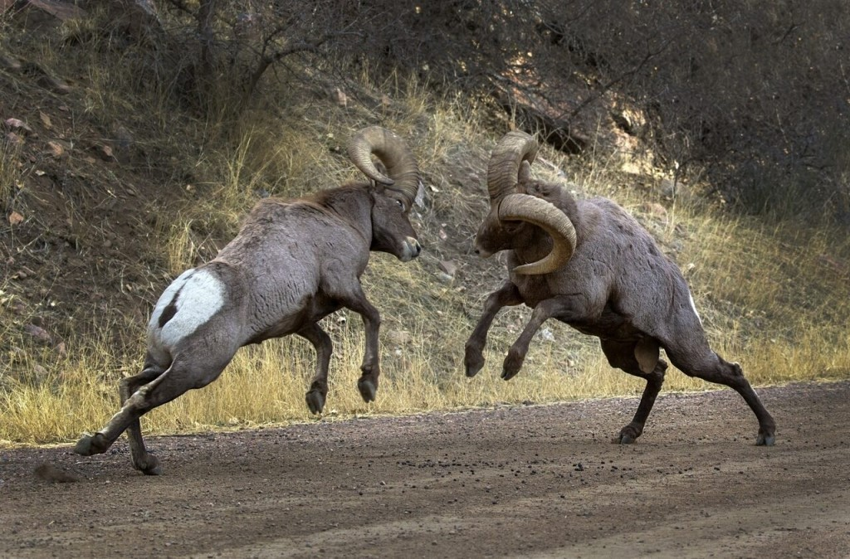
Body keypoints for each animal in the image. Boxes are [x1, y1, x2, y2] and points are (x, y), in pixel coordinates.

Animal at [75, 126, 424, 472]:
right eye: (398, 203)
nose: (415, 247)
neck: (339, 219)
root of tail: (176, 302)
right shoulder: (344, 285)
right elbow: (373, 317)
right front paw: (368, 384)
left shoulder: (300, 321)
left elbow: (325, 343)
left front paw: (316, 397)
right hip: (198, 369)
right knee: (142, 397)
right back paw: (94, 445)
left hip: (161, 362)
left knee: (128, 386)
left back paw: (143, 461)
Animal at [468, 131, 772, 446]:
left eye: (514, 224)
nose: (477, 247)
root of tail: (684, 292)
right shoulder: (518, 293)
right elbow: (492, 302)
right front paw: (472, 362)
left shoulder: (579, 304)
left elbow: (542, 310)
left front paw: (510, 367)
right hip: (620, 355)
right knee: (658, 374)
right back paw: (629, 432)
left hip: (689, 356)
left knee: (731, 372)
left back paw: (767, 432)